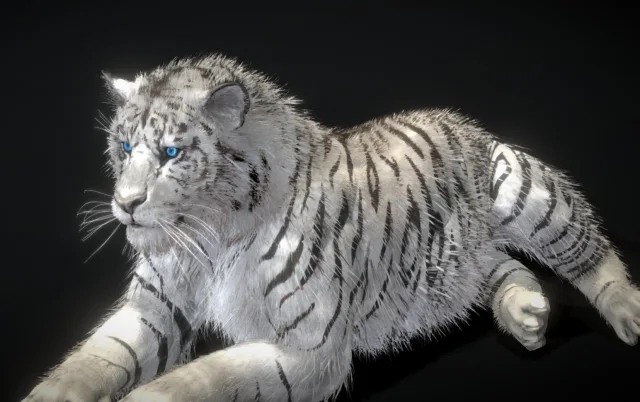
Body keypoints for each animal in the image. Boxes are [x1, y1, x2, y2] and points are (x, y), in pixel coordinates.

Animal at [23, 54, 639, 402]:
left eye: (172, 153)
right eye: (125, 148)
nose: (124, 204)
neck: (211, 239)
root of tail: (460, 118)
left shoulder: (311, 350)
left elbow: (200, 379)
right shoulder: (154, 307)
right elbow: (94, 361)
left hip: (522, 188)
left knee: (587, 249)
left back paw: (626, 314)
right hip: (457, 261)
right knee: (499, 264)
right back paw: (527, 315)